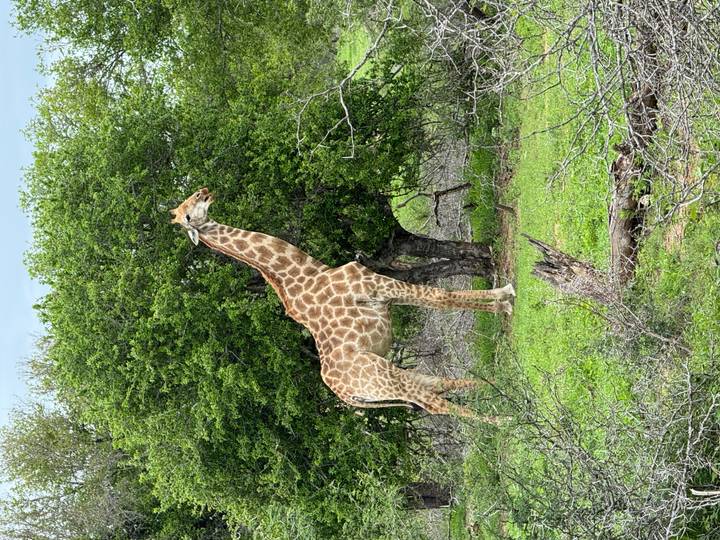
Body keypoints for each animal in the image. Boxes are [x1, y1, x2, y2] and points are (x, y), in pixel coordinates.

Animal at [171, 187, 515, 422]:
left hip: (387, 376)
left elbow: (438, 298)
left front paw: (505, 298)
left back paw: (497, 387)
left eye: (191, 202)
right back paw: (503, 420)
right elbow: (440, 298)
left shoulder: (382, 292)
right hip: (384, 377)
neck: (310, 272)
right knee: (432, 401)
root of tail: (347, 396)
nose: (204, 190)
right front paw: (507, 297)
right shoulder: (378, 286)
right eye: (187, 213)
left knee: (436, 384)